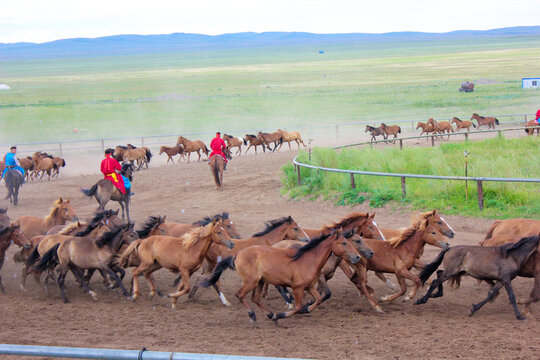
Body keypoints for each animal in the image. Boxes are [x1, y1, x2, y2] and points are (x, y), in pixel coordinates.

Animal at [201, 231, 362, 324]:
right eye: (343, 243)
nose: (357, 257)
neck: (308, 259)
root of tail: (237, 254)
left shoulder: (309, 286)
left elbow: (319, 299)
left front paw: (306, 309)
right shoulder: (297, 288)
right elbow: (297, 307)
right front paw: (282, 314)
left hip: (259, 282)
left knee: (255, 298)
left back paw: (270, 314)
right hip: (251, 282)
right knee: (240, 294)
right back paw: (253, 316)